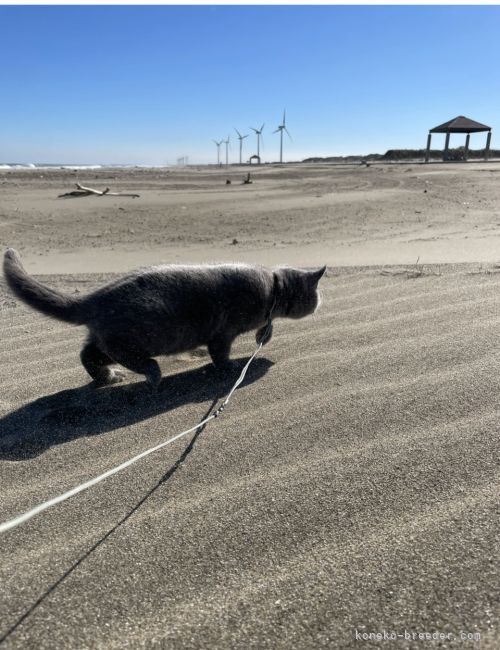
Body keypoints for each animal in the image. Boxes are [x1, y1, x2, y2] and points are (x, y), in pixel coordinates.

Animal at [3, 247, 326, 390]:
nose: (321, 301)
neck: (273, 288)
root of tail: (95, 297)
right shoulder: (223, 332)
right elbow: (220, 354)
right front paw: (231, 367)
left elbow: (265, 331)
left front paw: (263, 336)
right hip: (136, 339)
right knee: (125, 357)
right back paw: (152, 372)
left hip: (107, 339)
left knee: (88, 355)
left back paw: (108, 377)